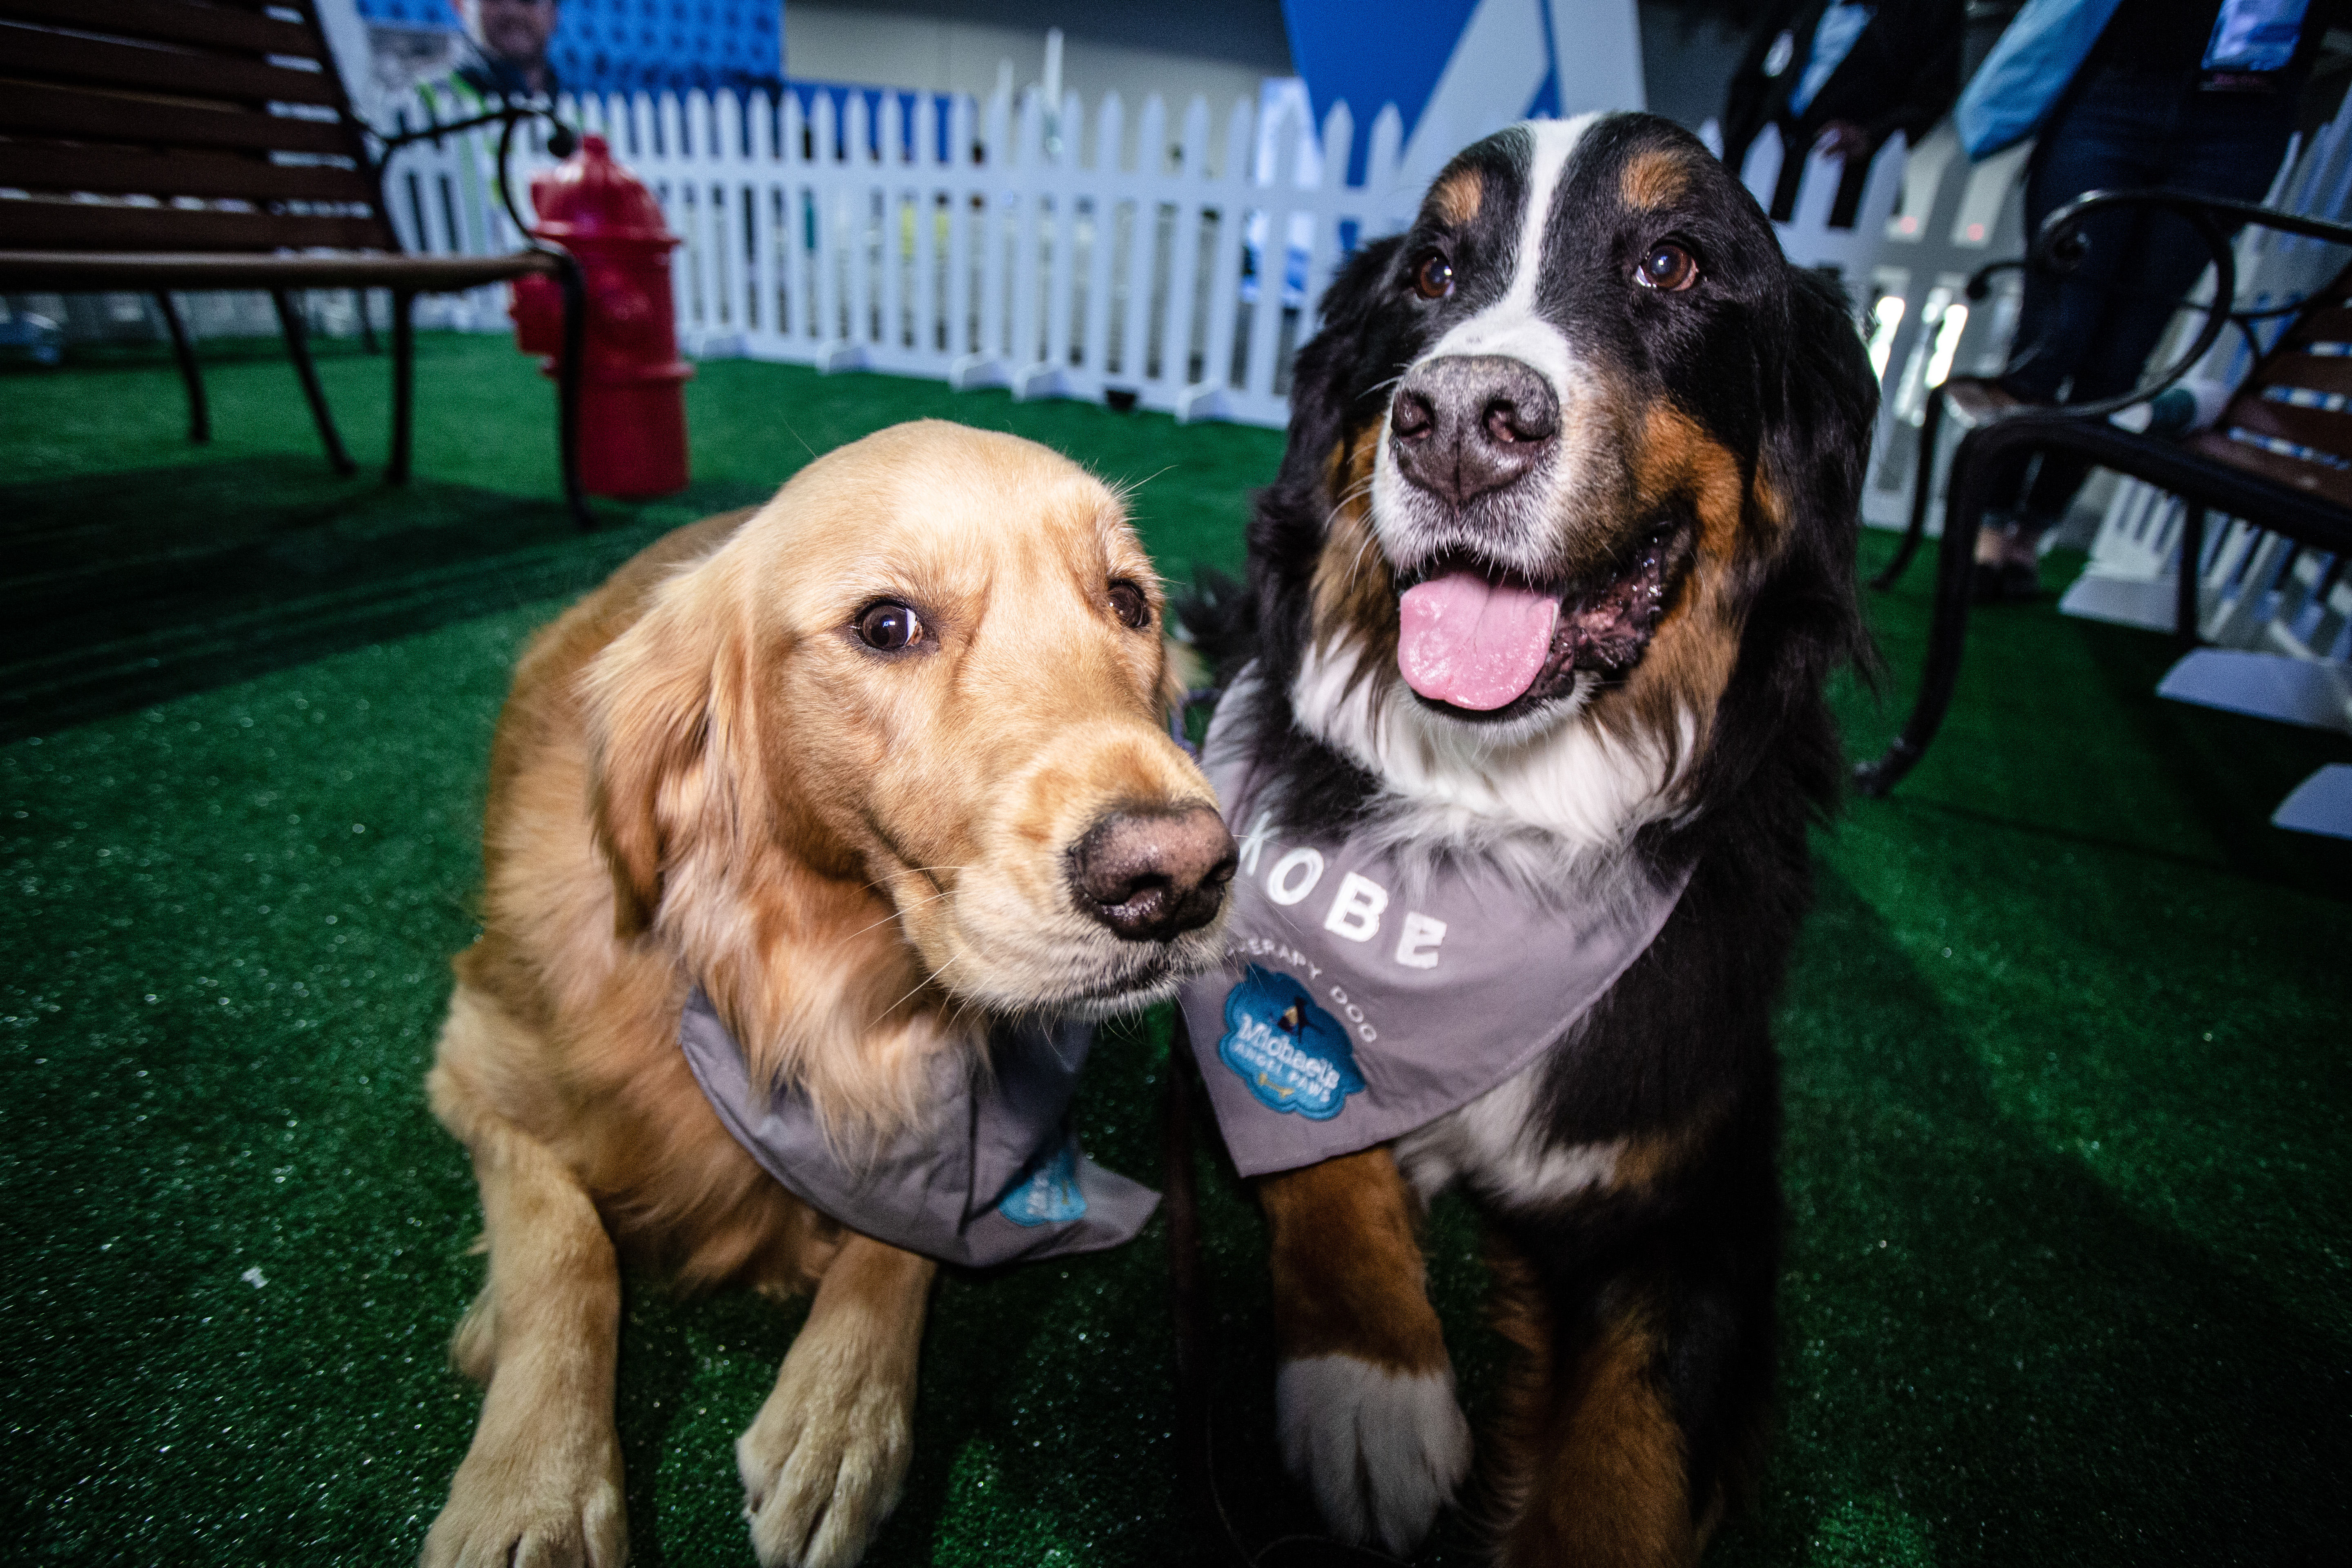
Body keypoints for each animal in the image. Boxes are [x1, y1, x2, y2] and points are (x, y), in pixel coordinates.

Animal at [1185, 113, 1882, 1568]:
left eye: (1674, 263)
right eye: (1432, 272)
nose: (1458, 422)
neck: (1491, 811)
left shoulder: (1704, 1182)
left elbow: (1635, 1455)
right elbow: (1321, 1151)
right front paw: (1374, 1387)